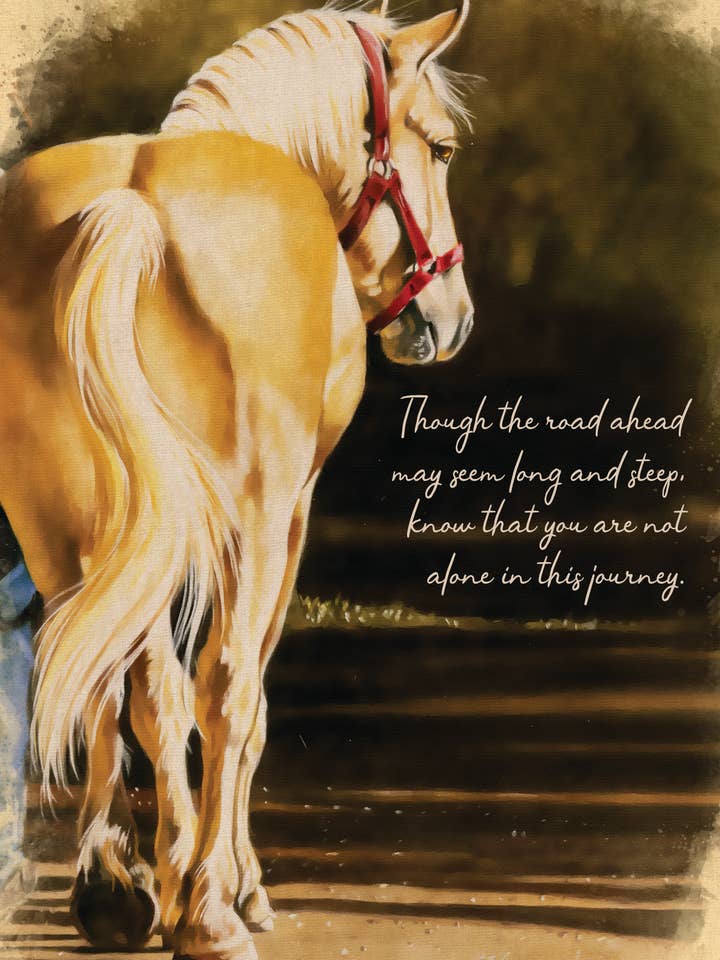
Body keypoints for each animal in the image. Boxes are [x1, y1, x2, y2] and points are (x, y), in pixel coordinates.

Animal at [0, 3, 474, 957]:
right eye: (440, 147)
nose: (452, 319)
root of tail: (131, 208)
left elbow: (141, 686)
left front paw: (156, 874)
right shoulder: (287, 508)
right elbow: (245, 696)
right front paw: (236, 884)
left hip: (64, 516)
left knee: (114, 672)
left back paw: (115, 890)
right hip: (239, 510)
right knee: (217, 683)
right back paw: (210, 913)